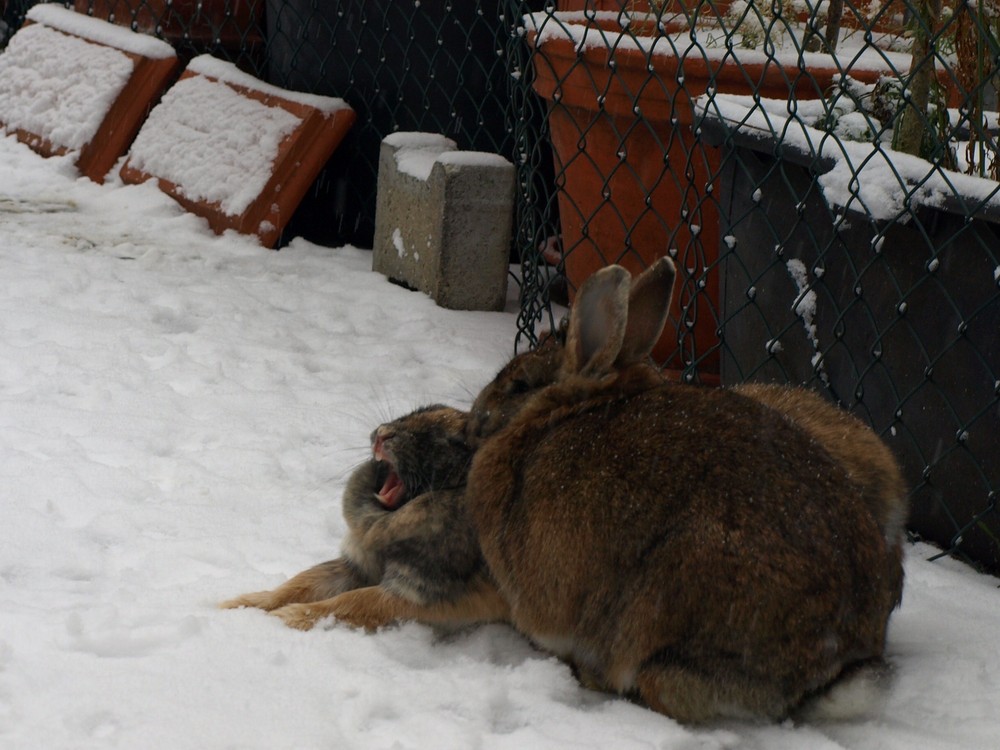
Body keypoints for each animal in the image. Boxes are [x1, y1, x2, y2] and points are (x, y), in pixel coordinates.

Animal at [224, 406, 512, 636]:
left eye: (456, 442)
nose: (384, 434)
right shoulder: (354, 565)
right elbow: (300, 583)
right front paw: (232, 606)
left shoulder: (418, 593)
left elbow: (350, 603)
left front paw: (280, 619)